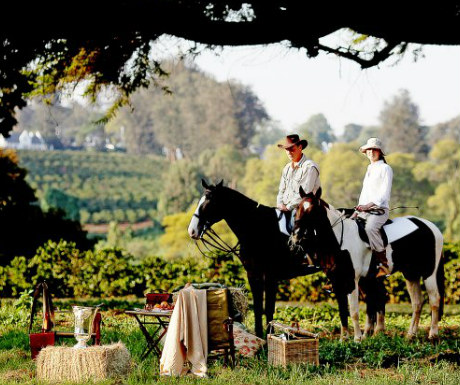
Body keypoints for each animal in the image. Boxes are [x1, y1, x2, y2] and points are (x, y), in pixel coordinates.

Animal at [186, 180, 316, 336]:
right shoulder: (253, 274)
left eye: (210, 202)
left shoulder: (270, 276)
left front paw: (269, 336)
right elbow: (259, 307)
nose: (192, 231)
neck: (256, 228)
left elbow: (268, 308)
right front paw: (260, 336)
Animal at [290, 188, 444, 340]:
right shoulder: (337, 281)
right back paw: (410, 335)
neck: (340, 241)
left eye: (313, 209)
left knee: (434, 299)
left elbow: (354, 311)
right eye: (297, 208)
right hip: (411, 275)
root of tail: (431, 227)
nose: (296, 235)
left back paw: (433, 334)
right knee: (417, 302)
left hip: (429, 273)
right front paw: (343, 339)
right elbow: (342, 311)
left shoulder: (352, 280)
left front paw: (357, 338)